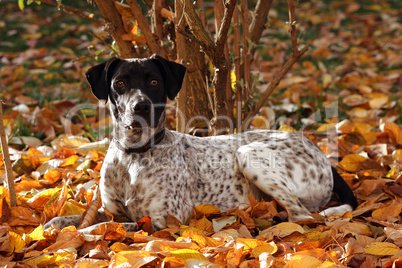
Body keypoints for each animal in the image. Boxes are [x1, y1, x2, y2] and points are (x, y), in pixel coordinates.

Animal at [44, 55, 358, 232]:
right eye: (120, 83)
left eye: (154, 82)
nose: (141, 107)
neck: (134, 156)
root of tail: (321, 152)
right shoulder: (113, 210)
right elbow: (72, 220)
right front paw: (49, 229)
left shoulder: (164, 220)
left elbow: (105, 227)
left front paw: (83, 234)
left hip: (249, 154)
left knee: (302, 216)